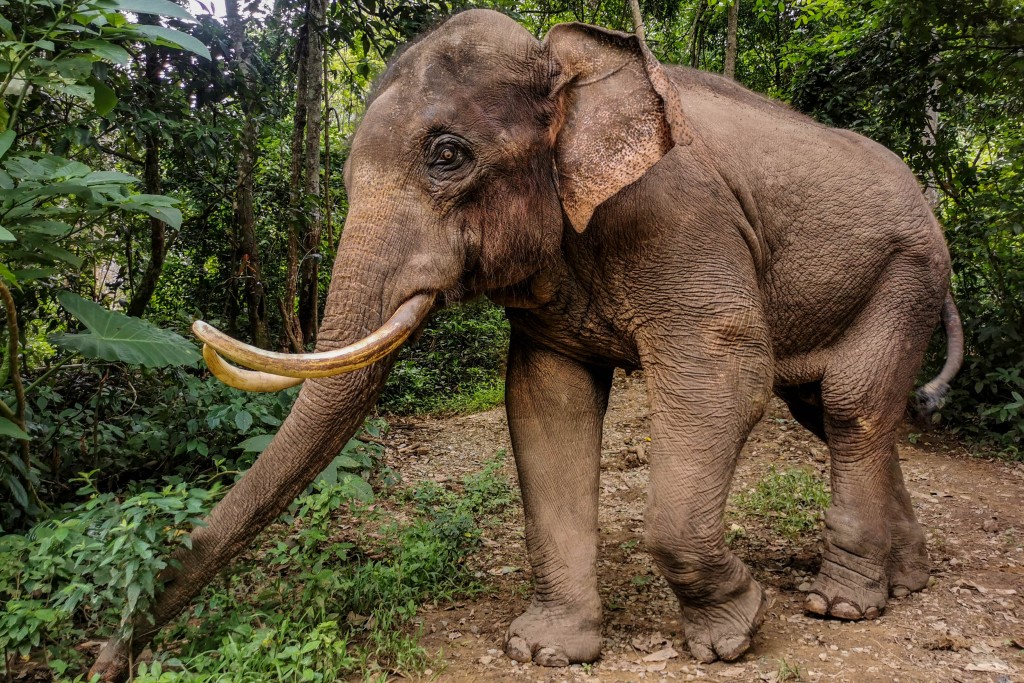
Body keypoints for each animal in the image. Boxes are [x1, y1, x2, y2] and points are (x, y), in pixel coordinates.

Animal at [88, 7, 958, 679]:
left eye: (447, 155)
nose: (106, 662)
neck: (571, 64)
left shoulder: (682, 217)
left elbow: (727, 373)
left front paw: (732, 636)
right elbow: (547, 402)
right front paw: (545, 651)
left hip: (908, 270)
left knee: (847, 403)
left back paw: (842, 603)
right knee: (837, 408)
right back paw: (905, 582)